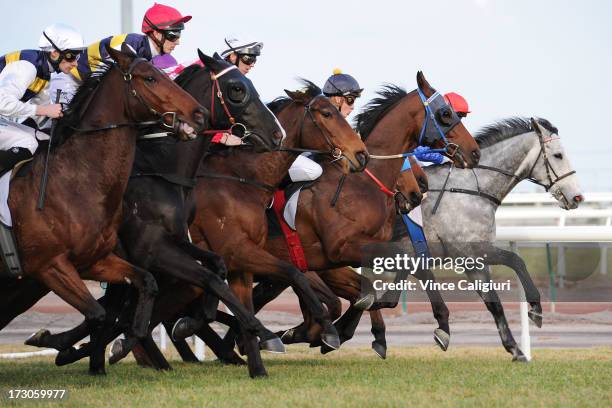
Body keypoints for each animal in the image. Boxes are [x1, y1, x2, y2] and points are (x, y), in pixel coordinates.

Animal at [0, 43, 206, 372]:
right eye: (150, 78)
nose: (199, 113)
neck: (76, 181)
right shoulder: (50, 266)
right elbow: (97, 314)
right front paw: (66, 347)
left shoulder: (95, 260)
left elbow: (144, 286)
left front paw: (128, 340)